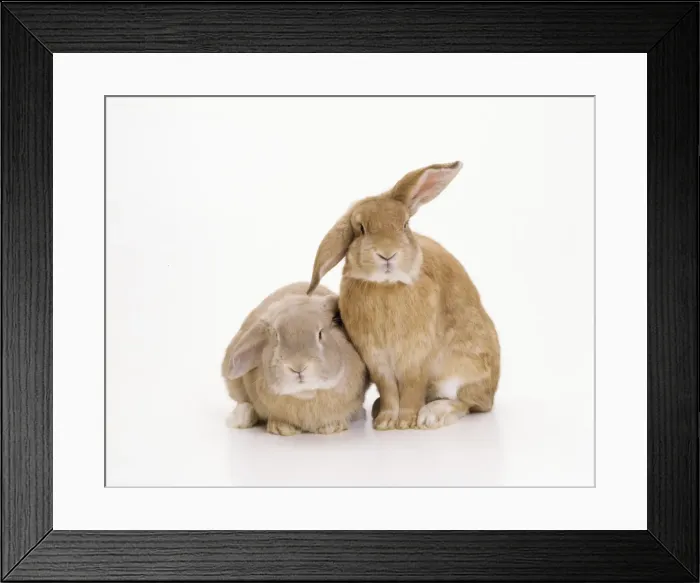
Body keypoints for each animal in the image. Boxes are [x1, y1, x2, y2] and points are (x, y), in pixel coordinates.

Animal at [222, 282, 370, 436]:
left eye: (320, 334)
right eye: (276, 337)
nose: (298, 367)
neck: (306, 395)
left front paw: (333, 426)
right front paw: (282, 428)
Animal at [307, 161, 500, 431]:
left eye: (405, 225)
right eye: (361, 229)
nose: (387, 254)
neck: (386, 286)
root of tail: (491, 392)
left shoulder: (416, 357)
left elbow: (411, 386)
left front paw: (407, 421)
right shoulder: (376, 359)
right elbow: (388, 388)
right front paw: (386, 421)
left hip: (463, 370)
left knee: (468, 402)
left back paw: (433, 415)